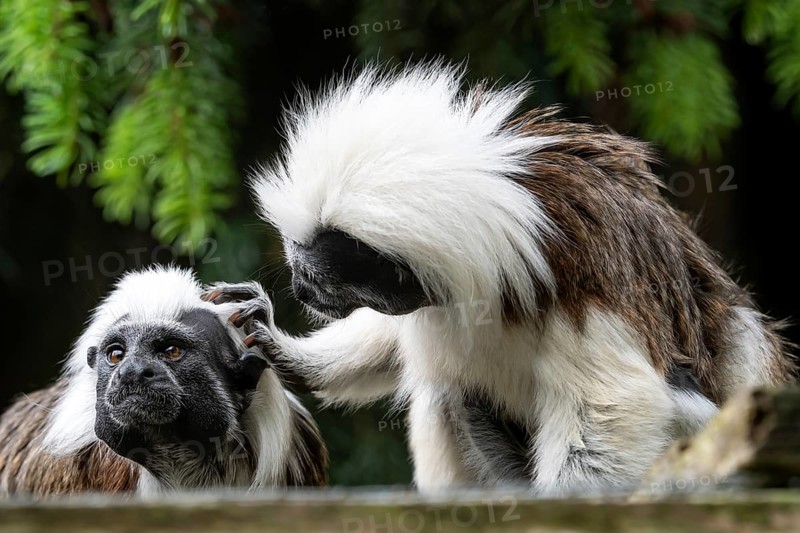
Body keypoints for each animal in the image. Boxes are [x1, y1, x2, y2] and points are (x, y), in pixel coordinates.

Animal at [211, 61, 795, 496]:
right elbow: (388, 342)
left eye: (317, 279)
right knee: (449, 394)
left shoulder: (583, 280)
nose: (302, 292)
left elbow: (614, 405)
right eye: (299, 273)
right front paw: (284, 349)